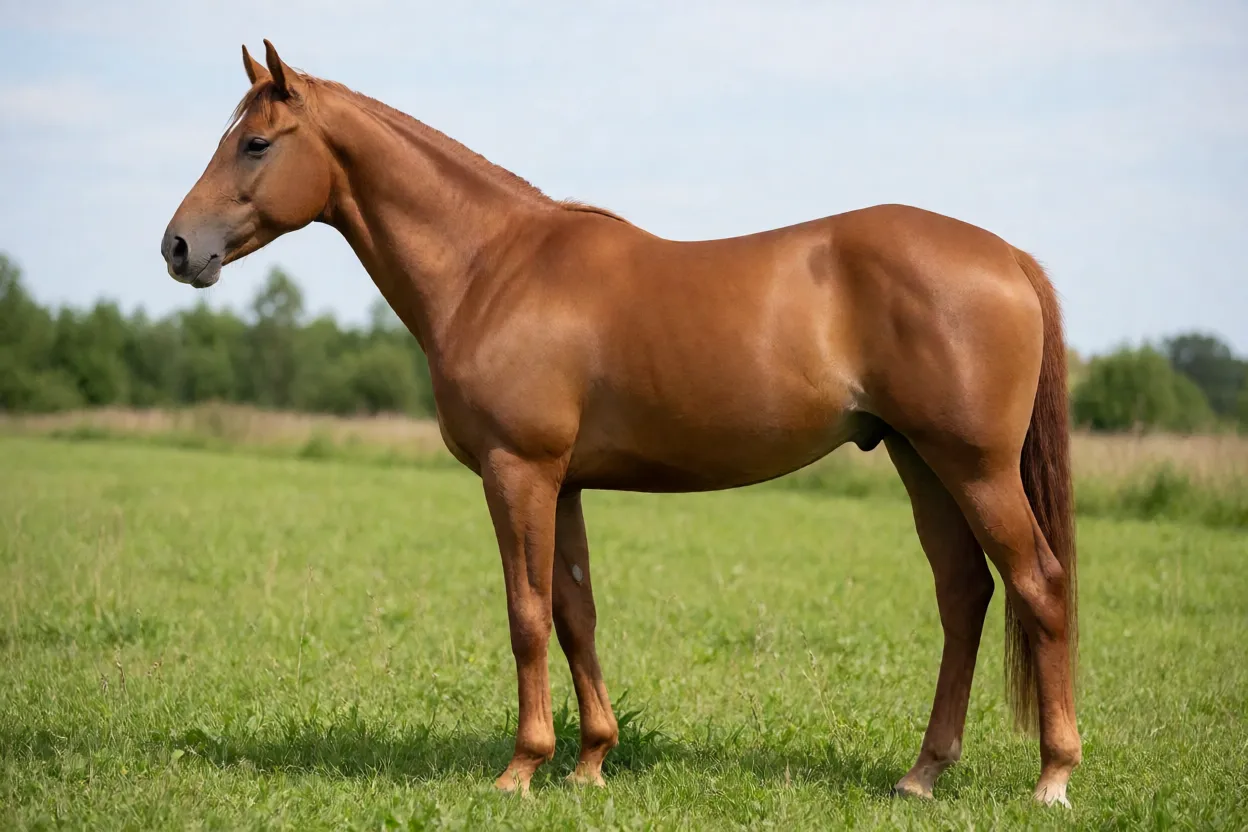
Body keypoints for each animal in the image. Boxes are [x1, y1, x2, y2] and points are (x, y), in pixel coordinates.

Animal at [162, 41, 1081, 807]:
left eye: (255, 144)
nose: (176, 247)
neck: (492, 267)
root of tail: (1008, 257)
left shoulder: (518, 470)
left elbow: (526, 614)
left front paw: (521, 768)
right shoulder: (563, 482)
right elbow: (576, 613)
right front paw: (591, 761)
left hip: (975, 466)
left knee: (1039, 584)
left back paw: (1053, 777)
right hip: (921, 462)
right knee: (965, 596)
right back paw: (922, 774)